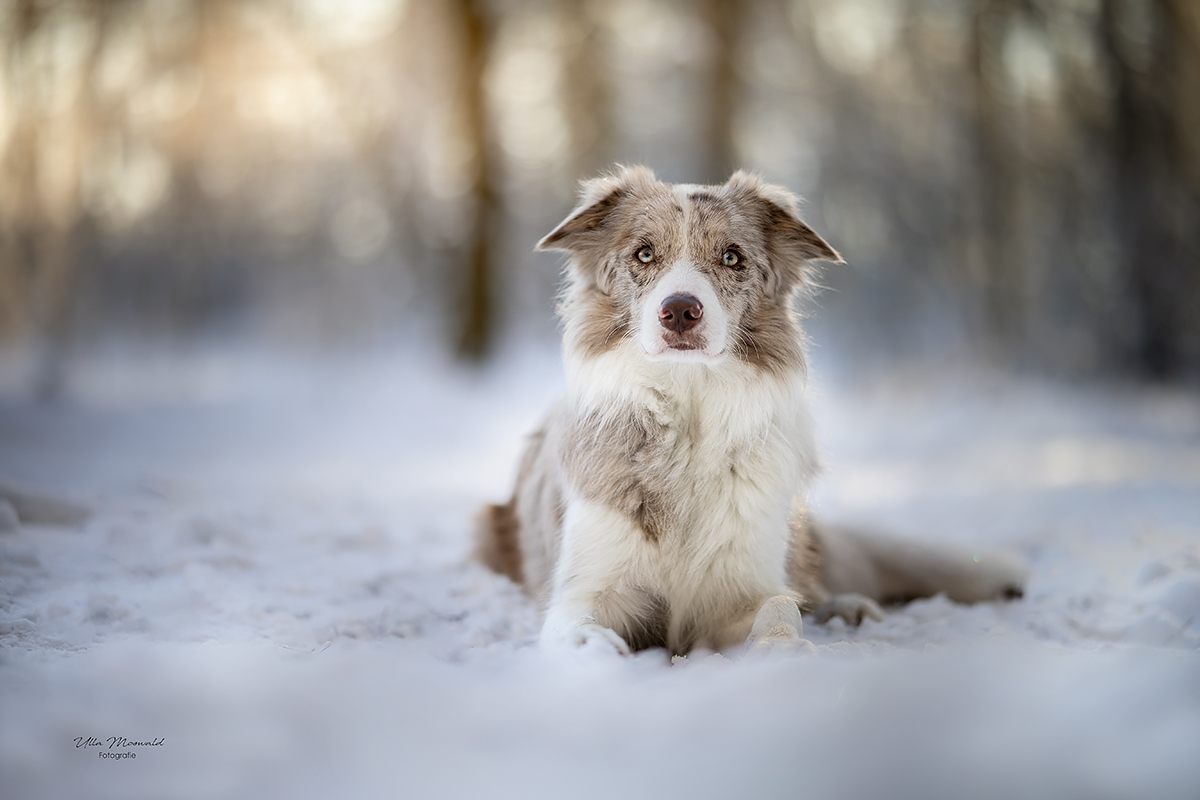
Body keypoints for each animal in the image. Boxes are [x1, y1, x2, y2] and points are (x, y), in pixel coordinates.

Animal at [475, 164, 1022, 657]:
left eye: (731, 257)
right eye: (644, 253)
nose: (679, 311)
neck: (689, 414)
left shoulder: (739, 586)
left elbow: (779, 609)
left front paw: (784, 648)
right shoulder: (589, 585)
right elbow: (577, 623)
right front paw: (594, 647)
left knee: (810, 585)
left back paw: (847, 607)